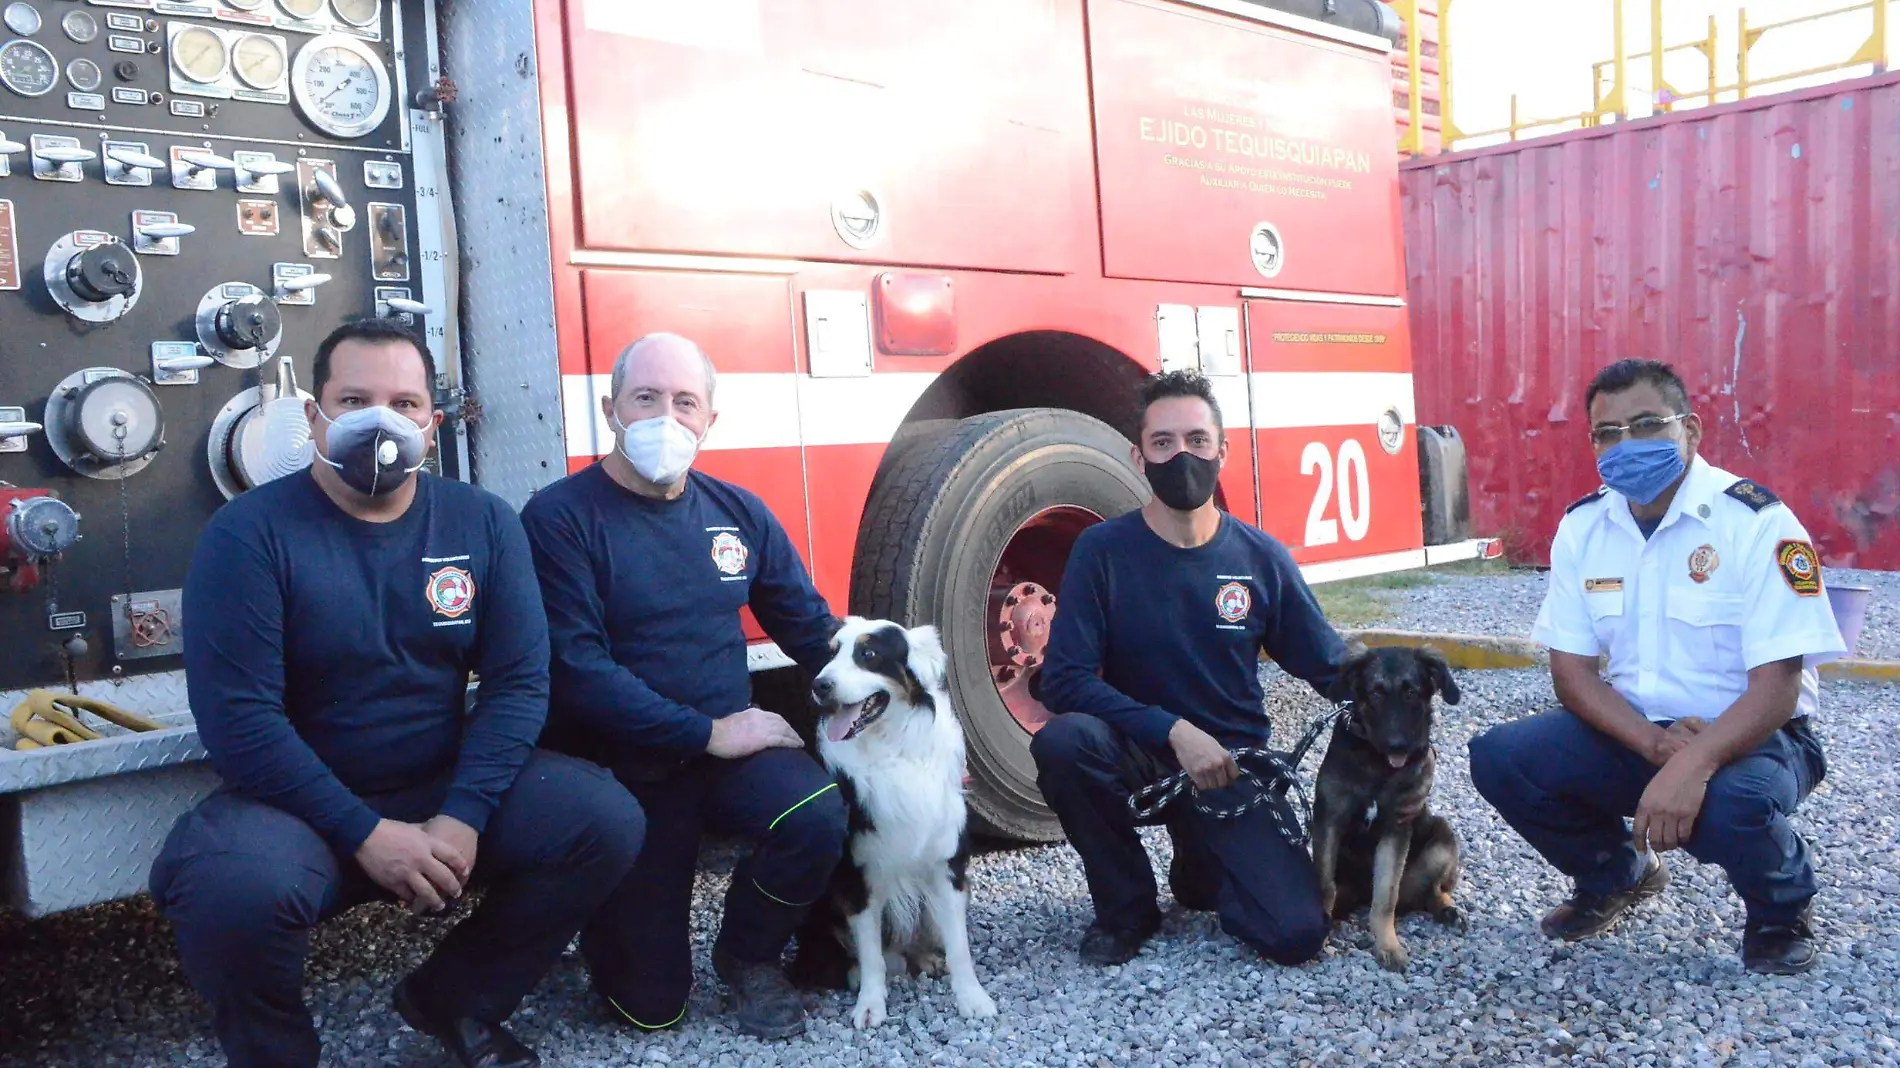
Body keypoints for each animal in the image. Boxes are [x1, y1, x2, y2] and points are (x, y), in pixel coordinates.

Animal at [786, 615, 1003, 1026]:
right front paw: (871, 1004)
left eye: (869, 654)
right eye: (832, 653)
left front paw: (972, 998)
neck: (891, 748)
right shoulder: (858, 875)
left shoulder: (947, 865)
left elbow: (960, 945)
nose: (819, 685)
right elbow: (870, 951)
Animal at [1307, 646, 1466, 969]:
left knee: (1432, 890)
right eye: (1376, 694)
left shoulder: (1397, 829)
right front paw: (1322, 927)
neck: (1377, 763)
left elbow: (1385, 897)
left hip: (1443, 837)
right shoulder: (1329, 820)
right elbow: (1325, 883)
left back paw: (1448, 909)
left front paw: (1388, 946)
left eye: (1411, 693)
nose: (1397, 746)